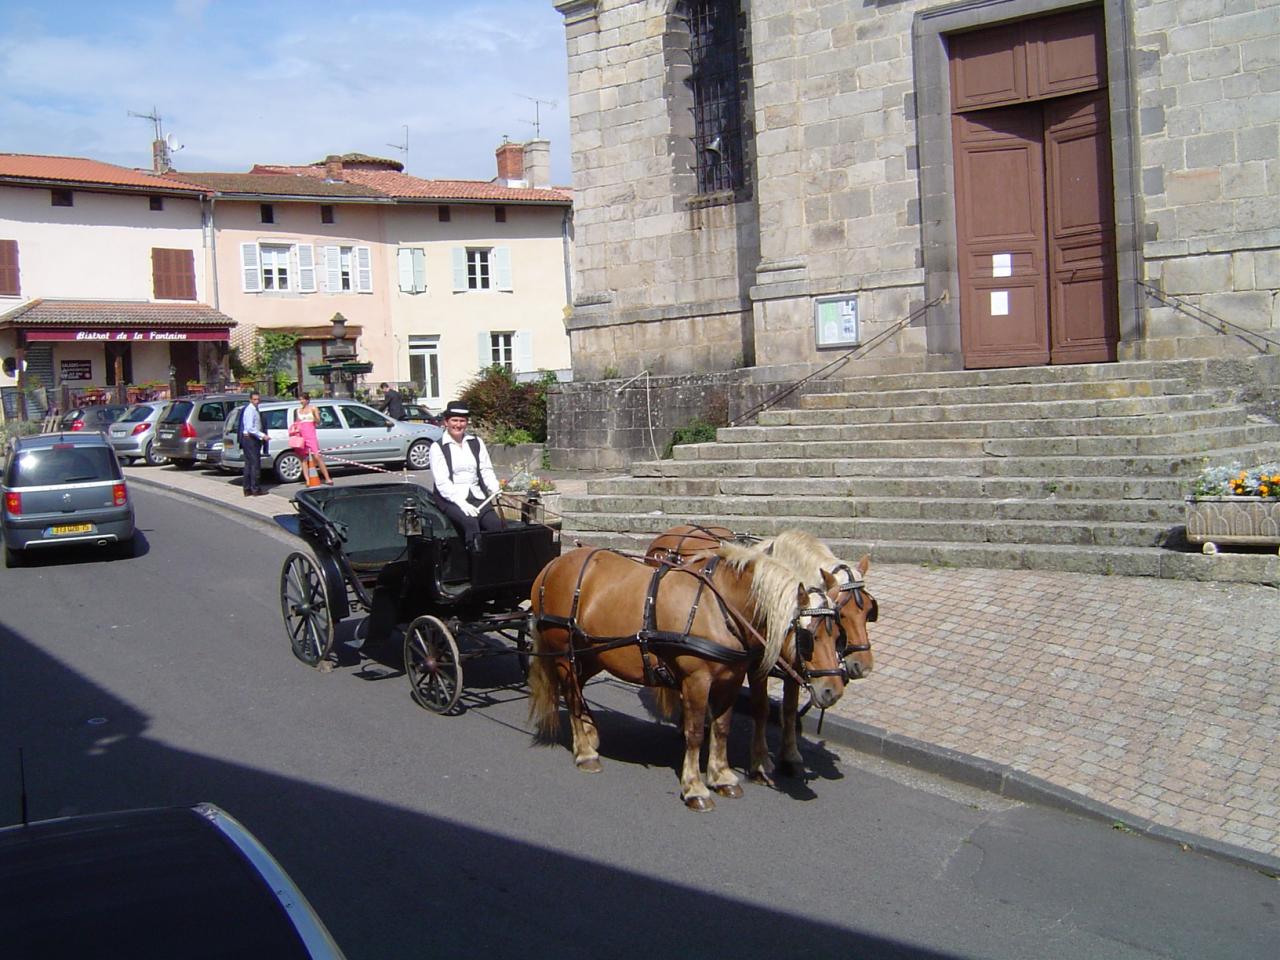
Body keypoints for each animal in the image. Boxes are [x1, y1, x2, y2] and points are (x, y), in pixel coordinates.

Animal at [527, 545, 839, 808]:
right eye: (808, 637)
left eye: (837, 634)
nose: (832, 691)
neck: (718, 606)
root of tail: (551, 566)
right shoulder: (696, 680)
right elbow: (695, 733)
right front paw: (695, 788)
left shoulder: (731, 680)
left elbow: (721, 728)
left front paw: (722, 776)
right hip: (565, 653)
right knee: (572, 696)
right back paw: (585, 752)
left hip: (593, 652)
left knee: (579, 689)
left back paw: (591, 734)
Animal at [645, 527, 875, 788]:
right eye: (842, 614)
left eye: (869, 611)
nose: (863, 666)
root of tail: (671, 532)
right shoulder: (757, 665)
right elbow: (761, 708)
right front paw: (761, 762)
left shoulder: (794, 663)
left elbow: (789, 709)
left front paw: (790, 756)